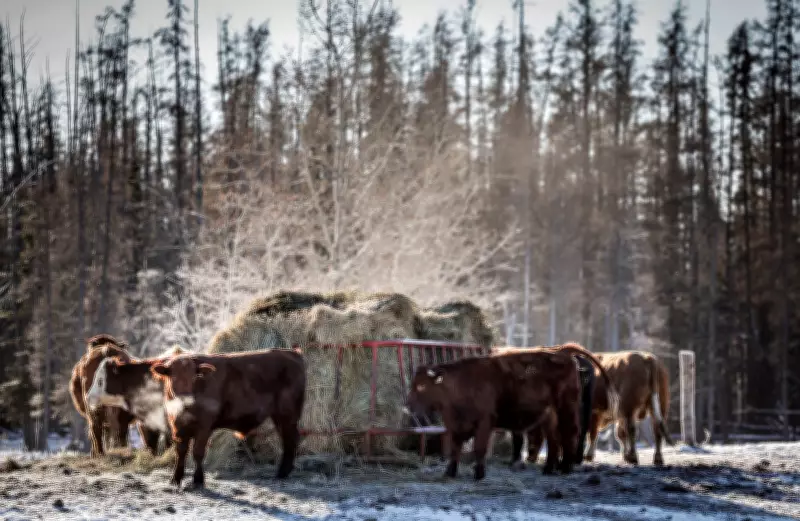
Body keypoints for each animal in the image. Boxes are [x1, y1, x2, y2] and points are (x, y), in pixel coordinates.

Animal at [150, 350, 306, 489]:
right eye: (173, 377)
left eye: (194, 377)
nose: (185, 398)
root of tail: (292, 353)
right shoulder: (178, 427)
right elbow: (181, 452)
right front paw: (175, 479)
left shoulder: (204, 427)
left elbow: (198, 453)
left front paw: (198, 480)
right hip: (281, 418)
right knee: (289, 440)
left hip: (287, 416)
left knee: (290, 440)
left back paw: (282, 473)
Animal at [404, 348, 589, 481]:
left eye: (421, 386)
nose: (406, 406)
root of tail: (567, 358)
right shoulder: (455, 426)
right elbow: (455, 449)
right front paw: (450, 472)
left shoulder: (484, 422)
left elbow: (479, 448)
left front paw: (479, 474)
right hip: (549, 416)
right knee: (554, 440)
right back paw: (548, 469)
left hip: (566, 409)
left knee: (569, 434)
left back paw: (565, 468)